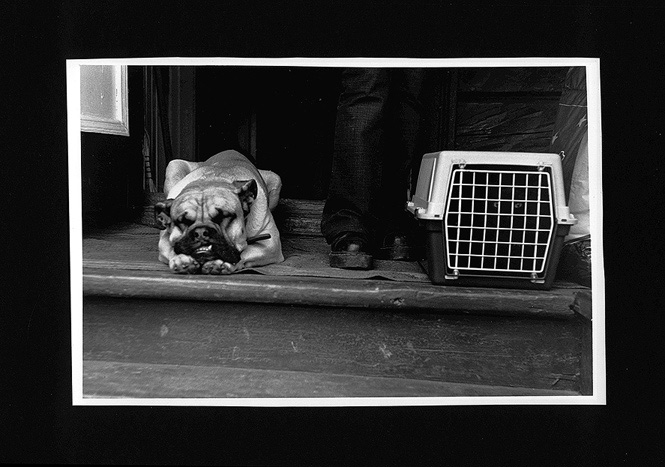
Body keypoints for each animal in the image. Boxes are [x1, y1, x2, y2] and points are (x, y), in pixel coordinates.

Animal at [154, 150, 284, 274]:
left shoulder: (270, 244)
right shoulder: (163, 241)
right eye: (182, 221)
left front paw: (220, 263)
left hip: (276, 180)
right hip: (174, 165)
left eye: (223, 217)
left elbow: (245, 252)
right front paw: (181, 260)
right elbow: (170, 249)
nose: (201, 232)